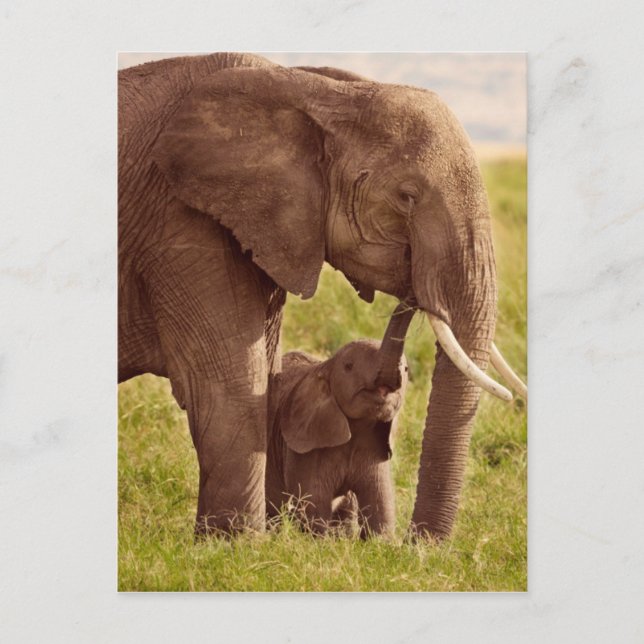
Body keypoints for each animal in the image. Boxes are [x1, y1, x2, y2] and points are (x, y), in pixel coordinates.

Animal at [265, 303, 414, 537]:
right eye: (349, 366)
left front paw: (380, 542)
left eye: (406, 370)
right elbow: (314, 503)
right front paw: (319, 540)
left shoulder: (376, 446)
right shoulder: (305, 449)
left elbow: (380, 504)